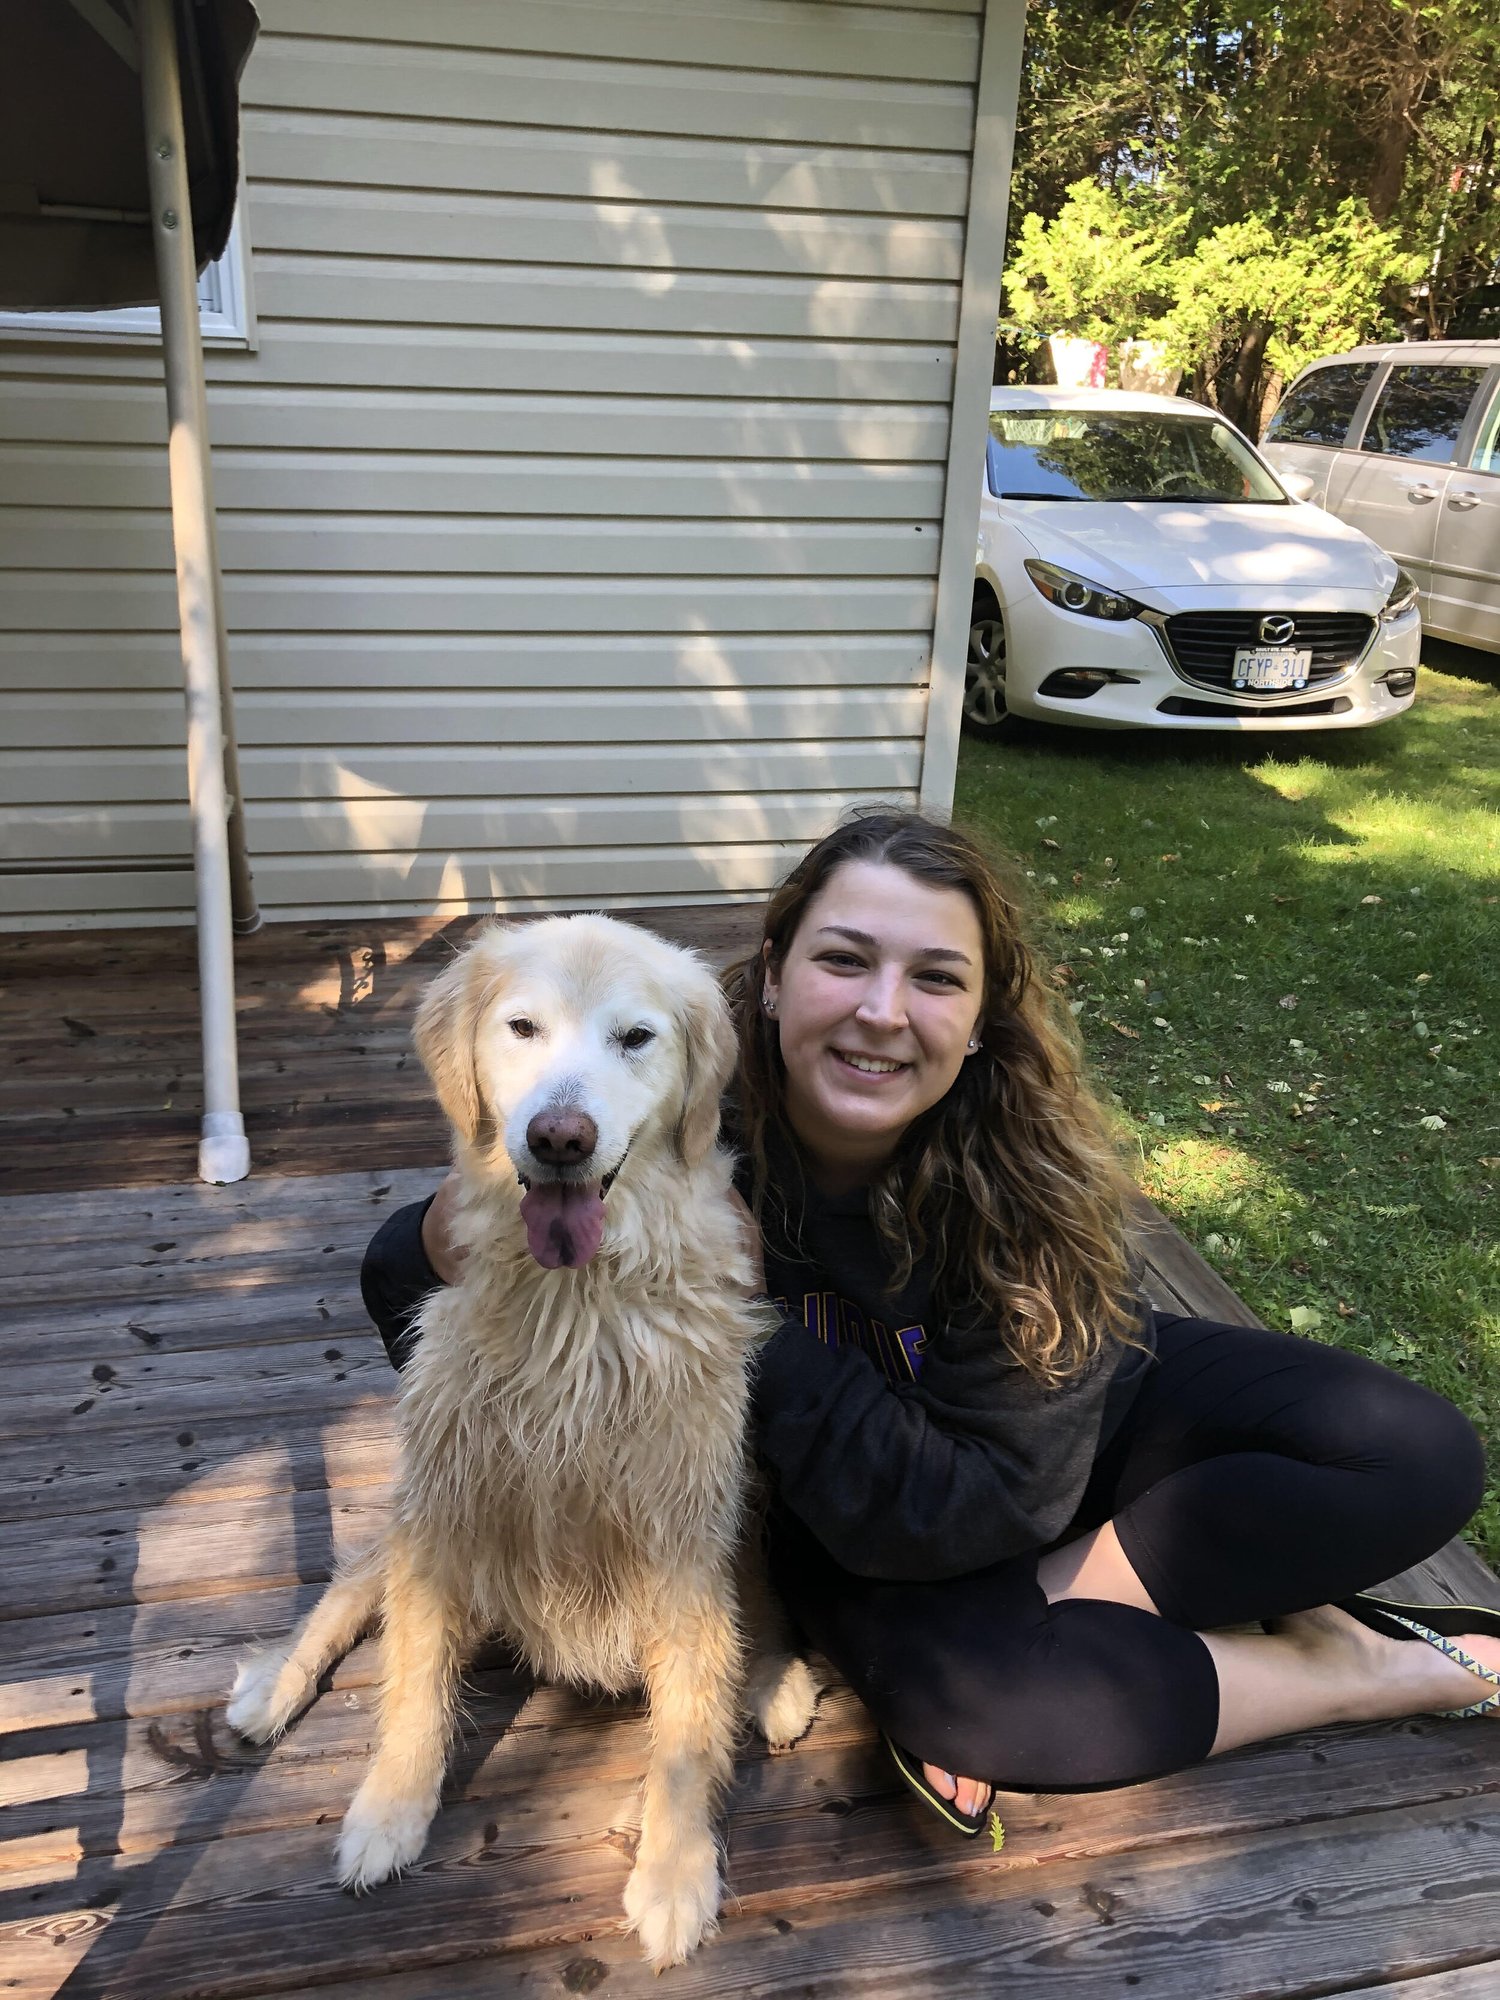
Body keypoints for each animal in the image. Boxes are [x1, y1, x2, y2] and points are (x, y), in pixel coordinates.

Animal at [226, 914, 817, 1967]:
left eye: (636, 1037)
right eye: (522, 1027)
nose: (559, 1137)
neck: (575, 1306)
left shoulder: (681, 1526)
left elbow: (684, 1729)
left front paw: (674, 1875)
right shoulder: (446, 1497)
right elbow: (415, 1680)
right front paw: (390, 1810)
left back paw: (774, 1676)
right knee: (351, 1589)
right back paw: (274, 1686)